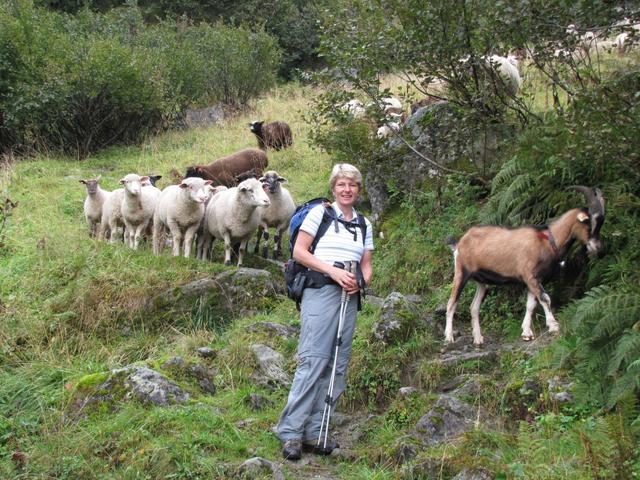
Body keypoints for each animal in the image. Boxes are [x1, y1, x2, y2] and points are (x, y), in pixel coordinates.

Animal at [444, 187, 604, 344]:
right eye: (588, 223)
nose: (598, 248)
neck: (548, 241)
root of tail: (459, 243)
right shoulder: (530, 276)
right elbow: (545, 298)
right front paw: (553, 326)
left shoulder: (536, 279)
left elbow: (531, 304)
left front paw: (527, 333)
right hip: (461, 272)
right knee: (452, 303)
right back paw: (449, 337)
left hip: (482, 282)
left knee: (474, 307)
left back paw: (478, 339)